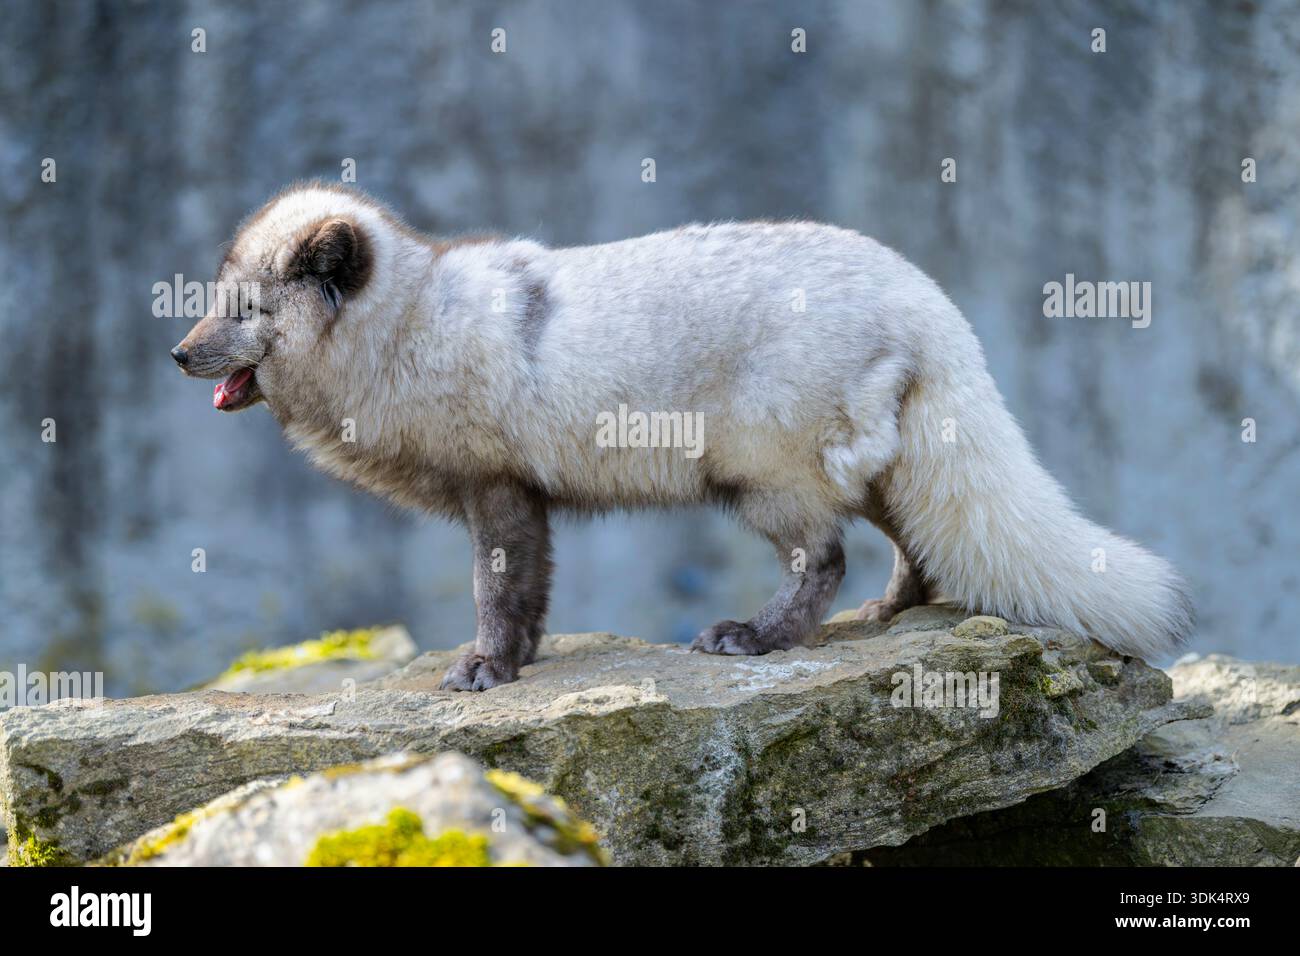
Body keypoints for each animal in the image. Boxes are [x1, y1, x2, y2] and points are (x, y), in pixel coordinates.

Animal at [172, 182, 1193, 690]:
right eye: (214, 298)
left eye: (247, 309)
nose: (178, 354)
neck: (410, 322)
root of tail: (928, 299)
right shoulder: (524, 497)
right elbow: (532, 593)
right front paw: (519, 663)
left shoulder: (494, 487)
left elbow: (496, 591)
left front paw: (486, 669)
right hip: (867, 468)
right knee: (916, 544)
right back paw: (891, 615)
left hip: (760, 474)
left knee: (827, 559)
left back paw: (757, 637)